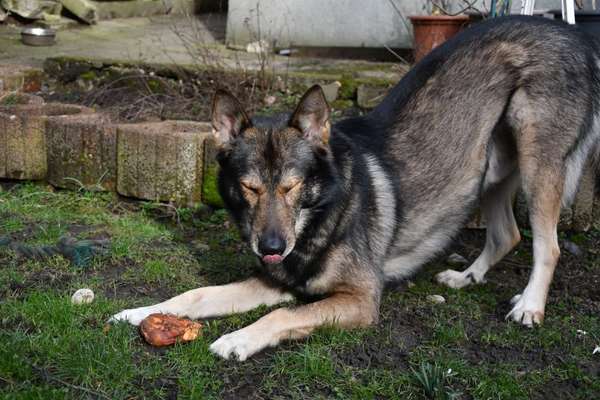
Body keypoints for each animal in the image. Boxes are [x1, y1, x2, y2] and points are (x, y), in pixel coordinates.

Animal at [112, 16, 600, 360]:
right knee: (507, 234)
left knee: (547, 245)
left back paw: (530, 306)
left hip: (537, 164)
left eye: (292, 187)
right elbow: (196, 295)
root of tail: (571, 33)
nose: (271, 248)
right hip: (492, 169)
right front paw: (141, 312)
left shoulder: (359, 301)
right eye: (250, 189)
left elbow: (283, 313)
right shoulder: (276, 280)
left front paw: (238, 340)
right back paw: (466, 278)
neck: (324, 216)